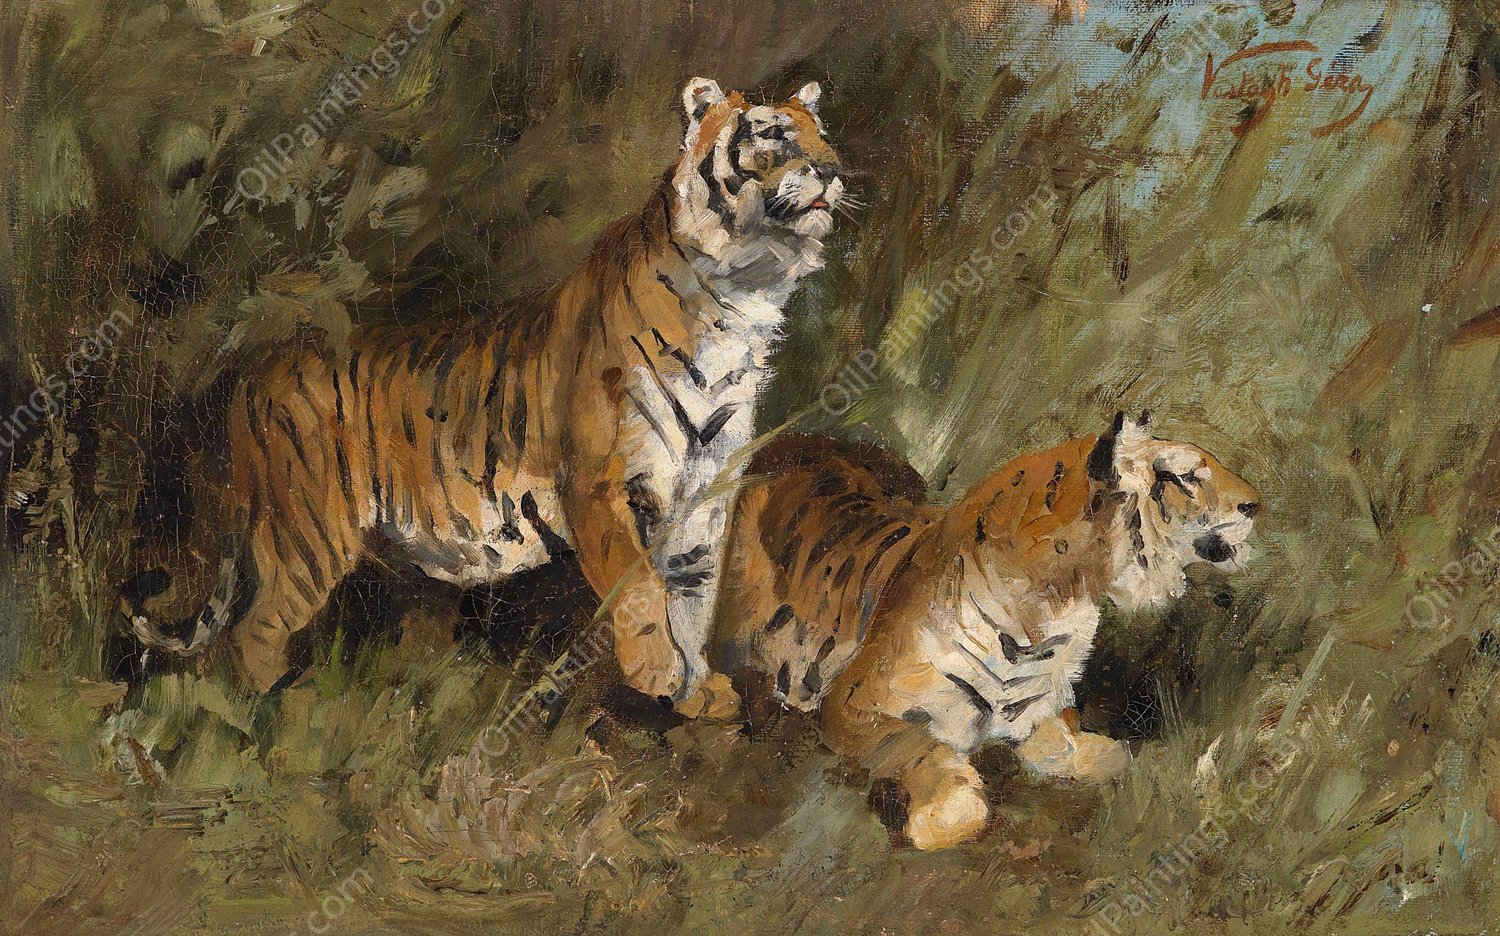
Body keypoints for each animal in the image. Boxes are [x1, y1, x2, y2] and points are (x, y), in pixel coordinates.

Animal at [120, 78, 845, 716]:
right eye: (773, 134)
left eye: (823, 135)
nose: (836, 171)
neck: (746, 292)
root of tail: (257, 370)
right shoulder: (600, 484)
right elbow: (641, 591)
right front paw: (658, 675)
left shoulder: (704, 496)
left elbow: (694, 597)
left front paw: (696, 694)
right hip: (306, 535)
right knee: (251, 639)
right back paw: (259, 721)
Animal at [713, 412, 1262, 849]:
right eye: (1184, 477)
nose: (1256, 504)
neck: (1055, 605)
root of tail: (800, 436)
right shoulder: (853, 704)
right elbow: (923, 748)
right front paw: (940, 818)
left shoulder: (1040, 710)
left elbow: (1093, 752)